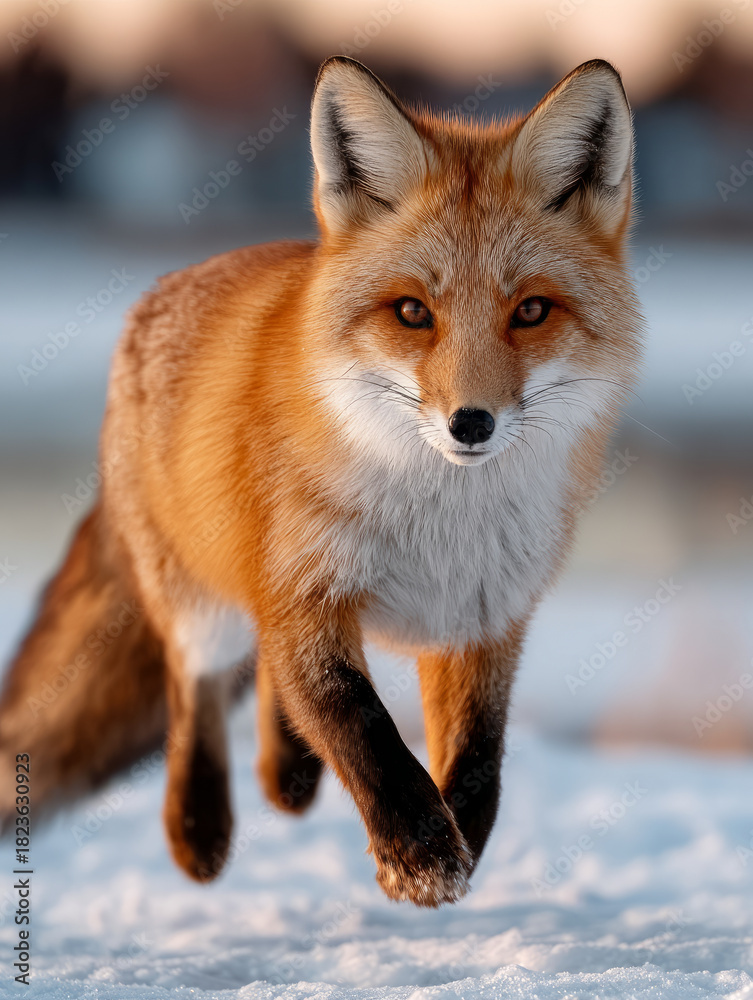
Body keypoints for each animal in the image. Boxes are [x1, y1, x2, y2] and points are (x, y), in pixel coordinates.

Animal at [0, 56, 642, 907]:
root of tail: (166, 285)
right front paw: (418, 852)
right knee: (192, 687)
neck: (440, 522)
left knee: (270, 693)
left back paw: (289, 774)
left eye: (531, 310)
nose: (470, 424)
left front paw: (457, 844)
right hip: (204, 604)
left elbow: (478, 757)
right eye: (412, 312)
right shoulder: (304, 593)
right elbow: (357, 720)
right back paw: (198, 830)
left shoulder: (484, 620)